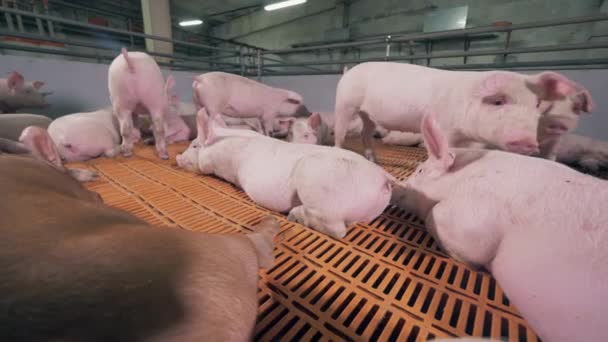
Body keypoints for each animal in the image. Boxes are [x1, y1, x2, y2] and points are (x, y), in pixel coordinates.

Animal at [177, 109, 394, 238]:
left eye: (194, 145)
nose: (178, 157)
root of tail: (382, 176)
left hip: (317, 184)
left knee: (338, 229)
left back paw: (293, 215)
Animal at [334, 62, 592, 162]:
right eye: (498, 101)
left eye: (537, 105)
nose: (528, 142)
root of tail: (349, 70)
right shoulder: (445, 129)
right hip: (345, 103)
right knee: (340, 132)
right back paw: (339, 151)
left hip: (368, 115)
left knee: (366, 132)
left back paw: (373, 160)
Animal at [392, 115, 604, 342]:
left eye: (420, 171)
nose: (399, 186)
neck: (463, 175)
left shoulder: (475, 218)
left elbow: (436, 216)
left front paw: (477, 268)